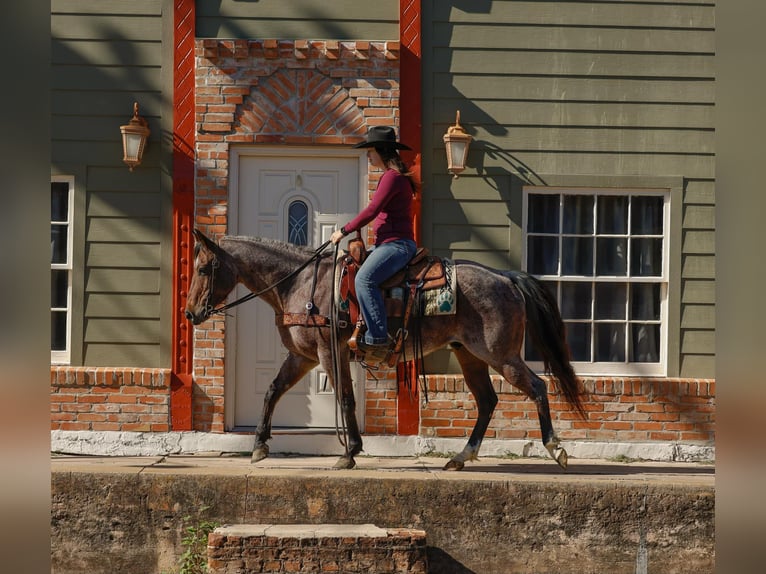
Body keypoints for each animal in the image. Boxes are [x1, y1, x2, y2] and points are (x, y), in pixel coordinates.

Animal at [185, 229, 585, 471]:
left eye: (204, 268)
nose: (190, 313)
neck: (301, 283)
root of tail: (507, 277)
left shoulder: (330, 353)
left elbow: (345, 398)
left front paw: (350, 452)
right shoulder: (303, 356)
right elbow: (272, 391)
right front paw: (259, 445)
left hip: (501, 356)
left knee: (537, 387)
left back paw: (556, 448)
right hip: (470, 355)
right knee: (487, 401)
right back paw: (461, 456)